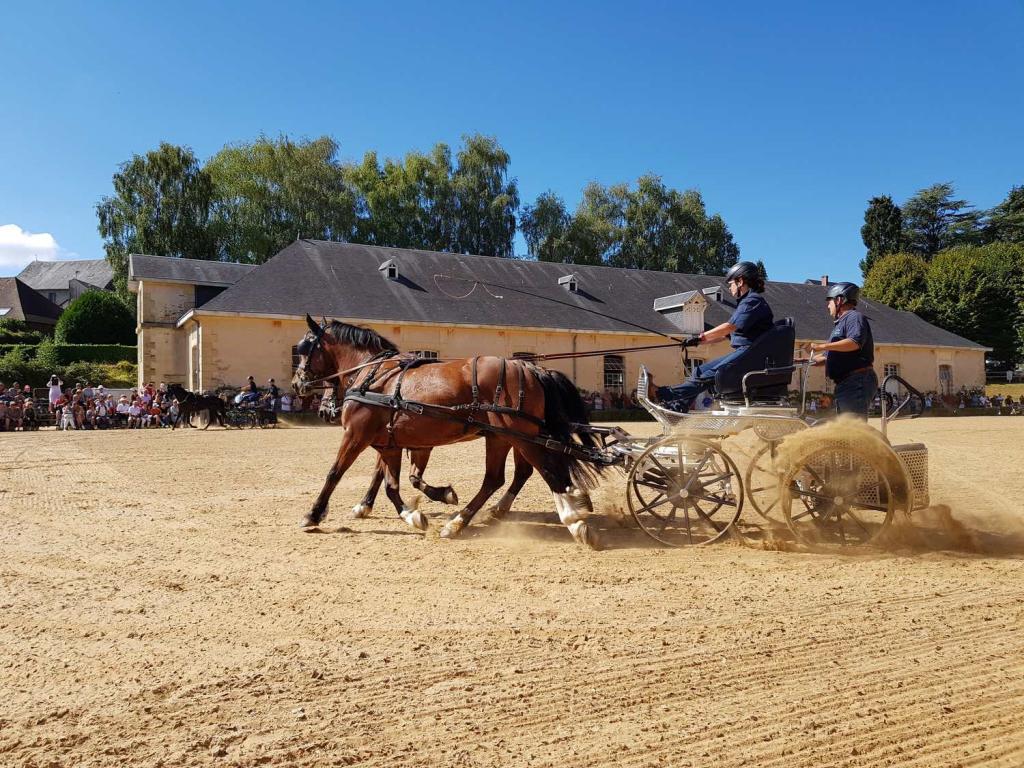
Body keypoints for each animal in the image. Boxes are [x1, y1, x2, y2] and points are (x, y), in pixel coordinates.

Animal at [292, 315, 602, 548]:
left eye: (304, 349)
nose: (297, 384)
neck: (375, 377)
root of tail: (529, 367)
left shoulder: (356, 436)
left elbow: (336, 473)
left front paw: (313, 514)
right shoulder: (392, 443)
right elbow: (391, 484)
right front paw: (411, 512)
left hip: (519, 436)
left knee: (549, 472)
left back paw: (573, 519)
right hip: (503, 437)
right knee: (501, 477)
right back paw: (463, 521)